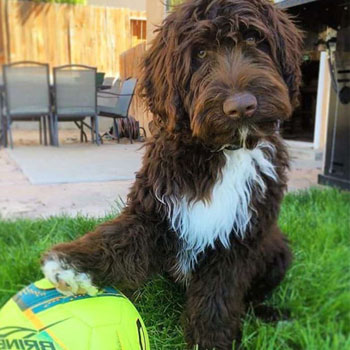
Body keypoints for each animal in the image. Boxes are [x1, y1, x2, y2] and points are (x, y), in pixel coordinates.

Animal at [42, 1, 302, 348]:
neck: (224, 151)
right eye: (201, 53)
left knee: (253, 296)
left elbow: (219, 296)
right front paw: (72, 264)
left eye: (254, 39)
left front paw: (210, 339)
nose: (241, 106)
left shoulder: (241, 238)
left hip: (277, 248)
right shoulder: (155, 209)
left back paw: (271, 314)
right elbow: (119, 236)